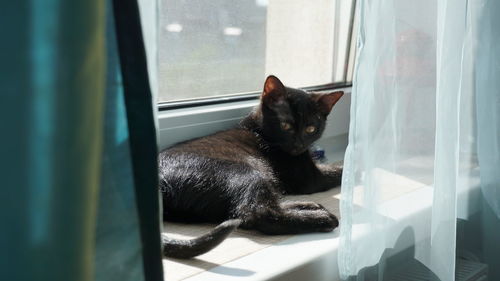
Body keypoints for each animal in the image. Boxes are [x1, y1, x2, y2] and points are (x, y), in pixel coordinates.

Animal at [160, 75, 344, 258]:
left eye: (311, 129)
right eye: (285, 125)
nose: (298, 145)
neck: (260, 131)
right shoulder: (310, 178)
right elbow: (338, 170)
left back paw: (307, 206)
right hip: (245, 172)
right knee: (259, 213)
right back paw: (322, 218)